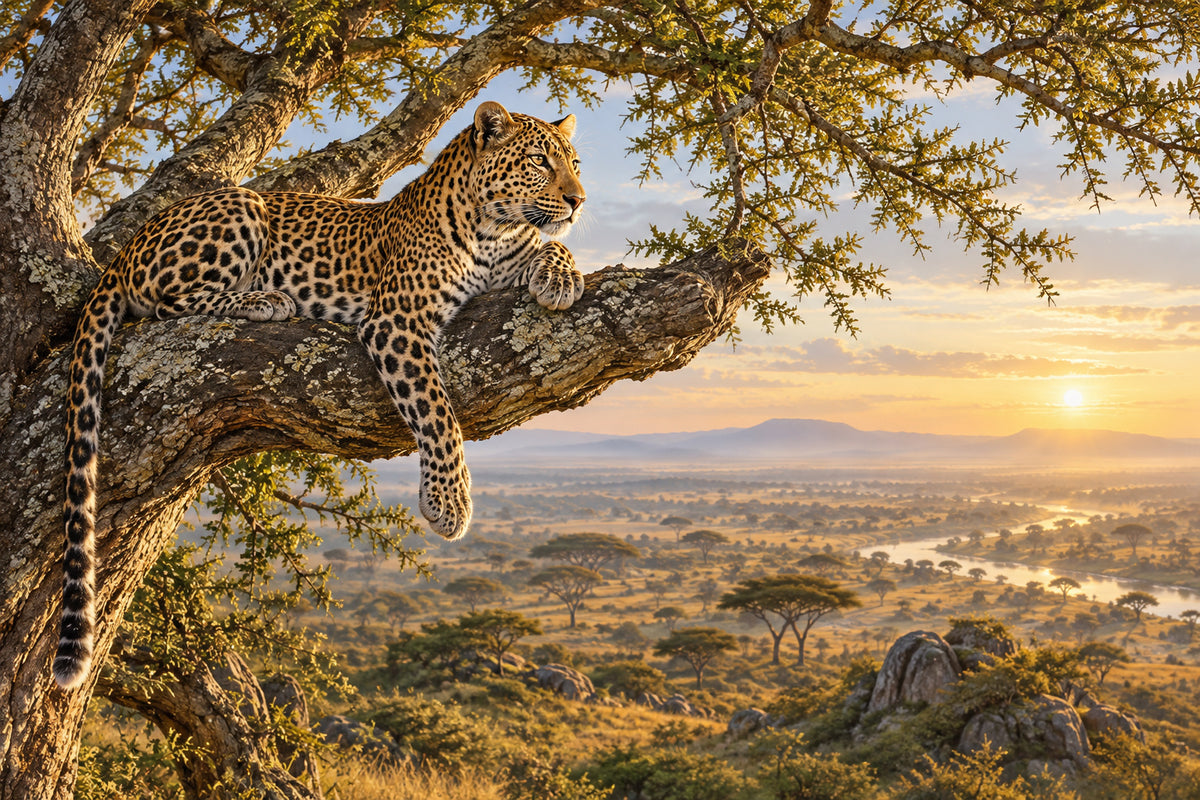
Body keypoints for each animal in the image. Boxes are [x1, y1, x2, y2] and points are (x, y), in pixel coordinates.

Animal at [56, 101, 586, 689]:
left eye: (574, 163)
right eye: (538, 161)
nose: (578, 200)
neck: (496, 232)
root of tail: (127, 246)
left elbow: (555, 245)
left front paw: (560, 277)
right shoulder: (397, 320)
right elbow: (437, 413)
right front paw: (449, 503)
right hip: (242, 208)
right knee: (171, 302)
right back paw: (265, 299)